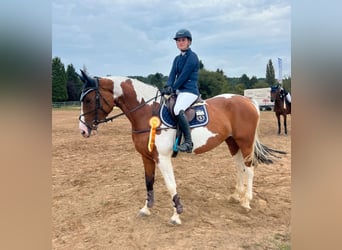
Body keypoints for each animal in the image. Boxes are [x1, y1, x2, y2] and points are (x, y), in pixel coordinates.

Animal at [77, 70, 286, 225]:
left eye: (88, 100)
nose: (83, 131)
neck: (147, 113)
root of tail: (248, 101)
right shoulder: (146, 156)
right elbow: (148, 182)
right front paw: (146, 209)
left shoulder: (162, 158)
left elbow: (171, 185)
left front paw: (176, 214)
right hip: (232, 142)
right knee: (239, 166)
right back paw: (236, 195)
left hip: (245, 141)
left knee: (249, 169)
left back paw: (246, 201)